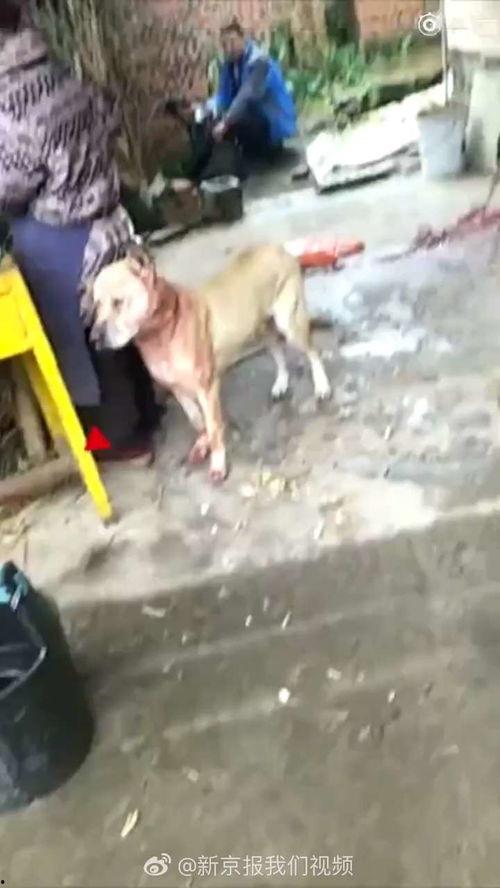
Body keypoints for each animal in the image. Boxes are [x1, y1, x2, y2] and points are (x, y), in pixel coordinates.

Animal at [90, 244, 332, 483]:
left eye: (118, 302)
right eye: (97, 305)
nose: (93, 338)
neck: (164, 328)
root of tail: (276, 247)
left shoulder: (207, 388)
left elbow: (214, 427)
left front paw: (218, 463)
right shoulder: (178, 390)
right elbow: (197, 420)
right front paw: (202, 443)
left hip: (289, 322)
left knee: (312, 351)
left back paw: (322, 386)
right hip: (262, 327)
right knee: (277, 350)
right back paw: (281, 383)